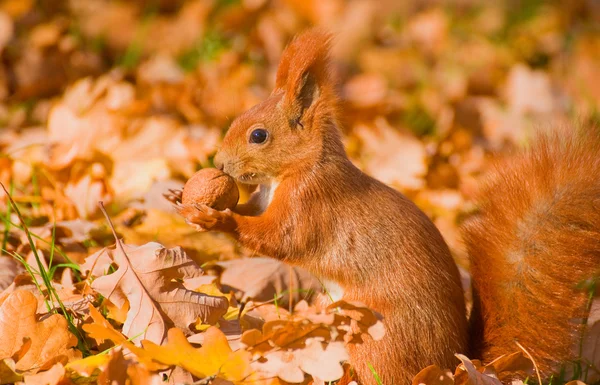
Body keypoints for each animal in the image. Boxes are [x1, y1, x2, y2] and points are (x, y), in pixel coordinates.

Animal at [177, 30, 600, 384]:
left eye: (258, 135)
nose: (219, 163)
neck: (299, 167)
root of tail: (454, 364)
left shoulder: (310, 203)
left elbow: (278, 238)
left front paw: (214, 217)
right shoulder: (267, 198)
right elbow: (255, 217)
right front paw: (182, 199)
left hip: (378, 338)